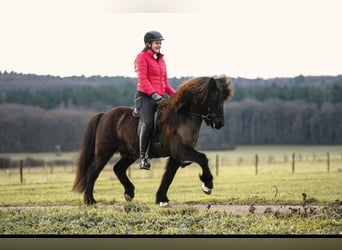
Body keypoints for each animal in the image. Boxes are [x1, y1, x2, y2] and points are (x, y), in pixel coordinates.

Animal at [72, 74, 232, 207]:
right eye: (215, 98)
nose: (220, 123)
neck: (182, 116)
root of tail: (104, 115)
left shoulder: (176, 156)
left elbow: (168, 176)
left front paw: (162, 199)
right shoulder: (180, 151)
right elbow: (202, 158)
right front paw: (207, 185)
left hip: (130, 153)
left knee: (118, 168)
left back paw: (129, 193)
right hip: (104, 152)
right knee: (93, 171)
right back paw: (90, 200)